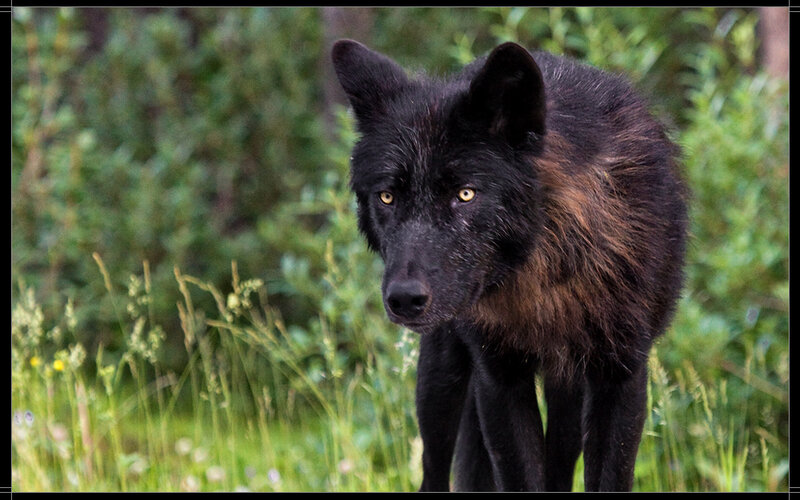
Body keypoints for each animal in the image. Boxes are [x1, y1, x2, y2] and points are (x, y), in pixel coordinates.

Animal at [331, 39, 688, 492]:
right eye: (387, 197)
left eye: (465, 194)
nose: (404, 299)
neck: (543, 276)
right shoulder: (498, 378)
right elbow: (518, 477)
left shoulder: (621, 373)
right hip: (442, 376)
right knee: (434, 469)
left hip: (567, 391)